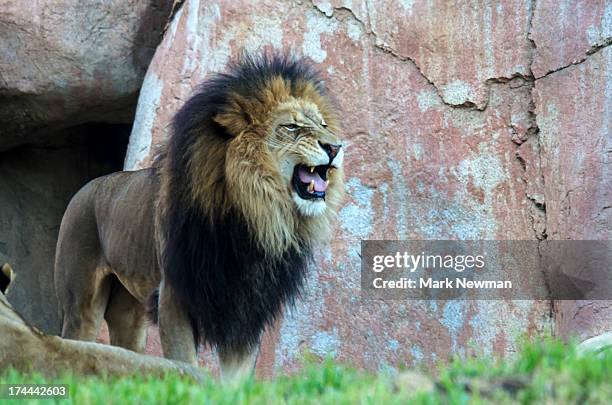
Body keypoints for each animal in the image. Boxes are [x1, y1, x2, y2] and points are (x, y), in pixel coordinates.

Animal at [53, 52, 344, 378]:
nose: (335, 146)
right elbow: (185, 366)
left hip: (130, 312)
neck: (253, 214)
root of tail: (86, 188)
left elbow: (237, 378)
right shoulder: (174, 297)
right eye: (292, 126)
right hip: (81, 304)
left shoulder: (247, 311)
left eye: (322, 123)